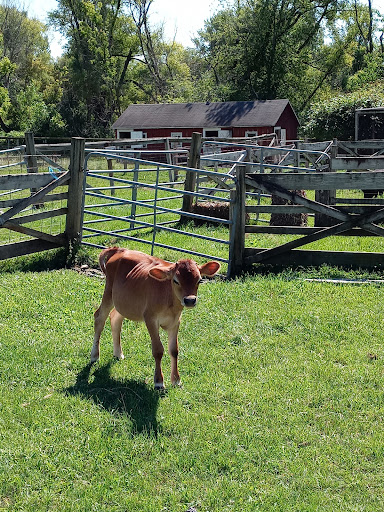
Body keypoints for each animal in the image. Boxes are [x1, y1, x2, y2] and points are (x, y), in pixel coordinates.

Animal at [90, 248, 220, 388]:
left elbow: (174, 350)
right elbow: (158, 350)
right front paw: (159, 382)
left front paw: (176, 380)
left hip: (123, 302)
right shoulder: (150, 318)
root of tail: (120, 249)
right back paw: (94, 356)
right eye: (176, 280)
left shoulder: (176, 321)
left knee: (115, 318)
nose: (190, 300)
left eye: (199, 280)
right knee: (99, 317)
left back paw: (118, 353)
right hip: (109, 293)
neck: (170, 304)